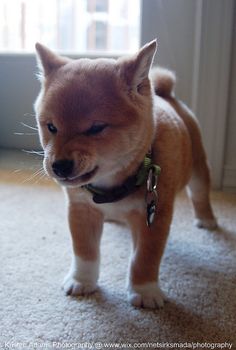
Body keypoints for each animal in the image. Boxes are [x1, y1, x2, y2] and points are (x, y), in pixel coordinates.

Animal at [34, 40, 217, 308]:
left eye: (96, 128)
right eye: (51, 127)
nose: (59, 166)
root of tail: (167, 96)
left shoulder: (154, 214)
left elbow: (145, 257)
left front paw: (145, 291)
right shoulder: (81, 211)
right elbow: (85, 252)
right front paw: (82, 280)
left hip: (198, 167)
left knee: (201, 194)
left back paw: (207, 220)